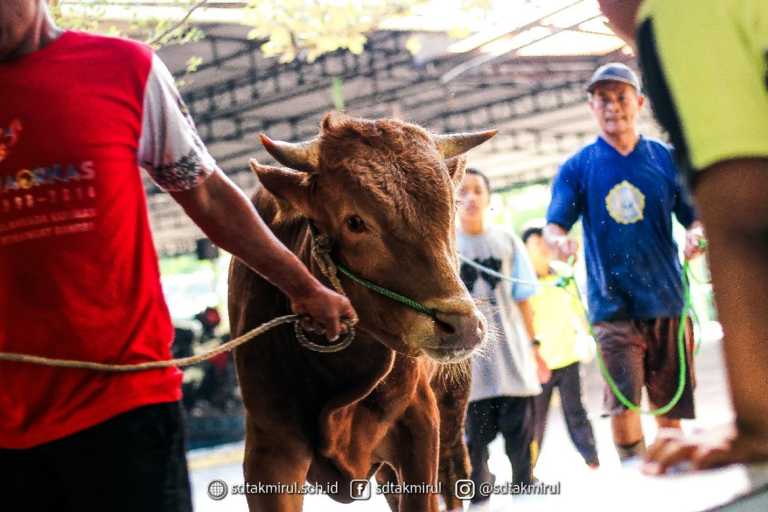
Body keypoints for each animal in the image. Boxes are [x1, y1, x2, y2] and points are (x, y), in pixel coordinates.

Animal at [228, 113, 496, 512]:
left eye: (451, 209)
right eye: (355, 222)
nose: (462, 326)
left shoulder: (420, 426)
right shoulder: (270, 452)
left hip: (451, 405)